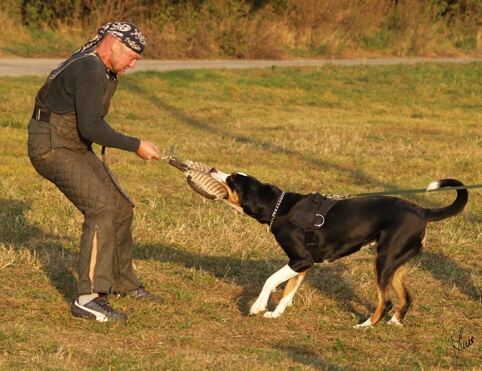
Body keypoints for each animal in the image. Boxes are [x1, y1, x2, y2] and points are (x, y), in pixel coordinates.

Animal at [210, 169, 466, 328]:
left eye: (232, 180)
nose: (212, 168)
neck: (280, 208)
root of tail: (422, 211)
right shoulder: (303, 264)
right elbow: (288, 291)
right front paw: (276, 313)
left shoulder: (300, 260)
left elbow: (271, 280)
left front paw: (257, 307)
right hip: (396, 266)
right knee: (406, 297)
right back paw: (394, 322)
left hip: (383, 262)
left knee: (386, 301)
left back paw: (366, 325)